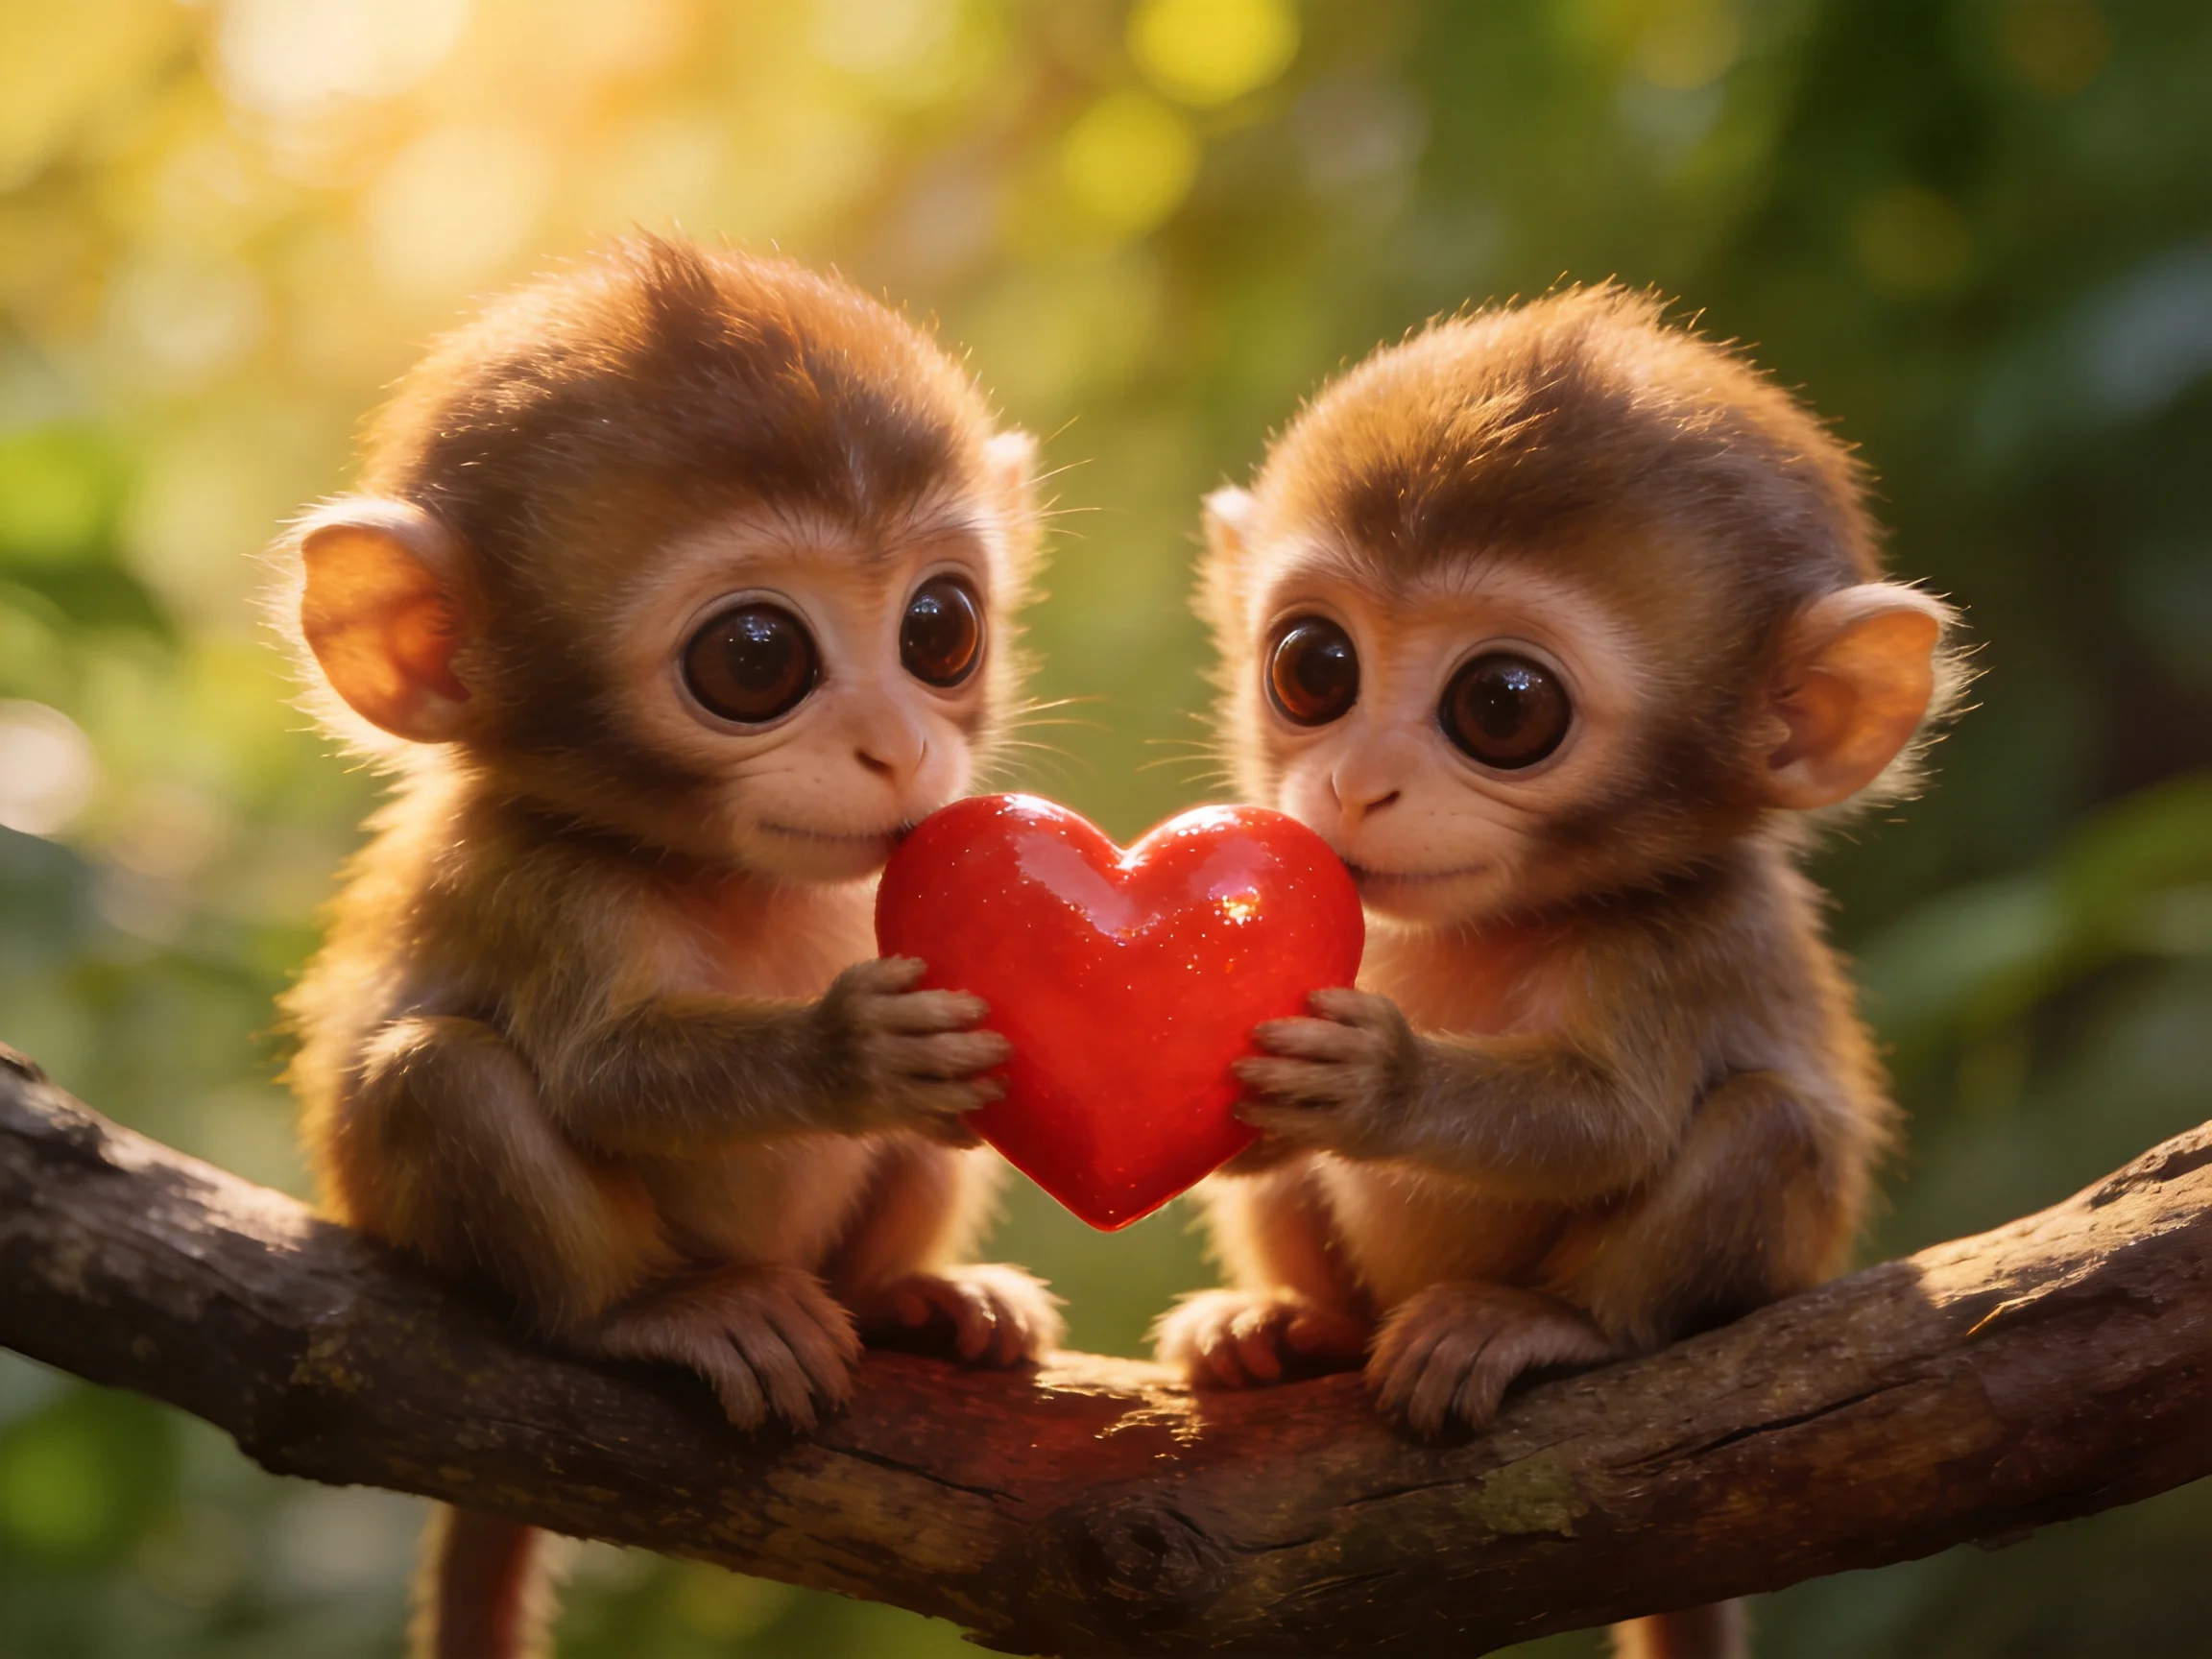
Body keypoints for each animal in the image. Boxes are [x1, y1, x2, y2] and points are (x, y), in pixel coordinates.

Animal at [272, 237, 1063, 1659]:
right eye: (755, 658)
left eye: (940, 628)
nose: (897, 749)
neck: (734, 876)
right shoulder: (538, 881)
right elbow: (599, 1074)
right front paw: (857, 1050)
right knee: (442, 1072)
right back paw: (648, 1312)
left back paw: (906, 1298)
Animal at [1152, 286, 1963, 1659]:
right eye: (1313, 667)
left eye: (1505, 704)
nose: (1358, 784)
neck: (1491, 923)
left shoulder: (1682, 938)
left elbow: (1614, 1123)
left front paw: (1375, 1082)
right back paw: (1294, 1328)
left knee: (1768, 1122)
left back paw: (1553, 1327)